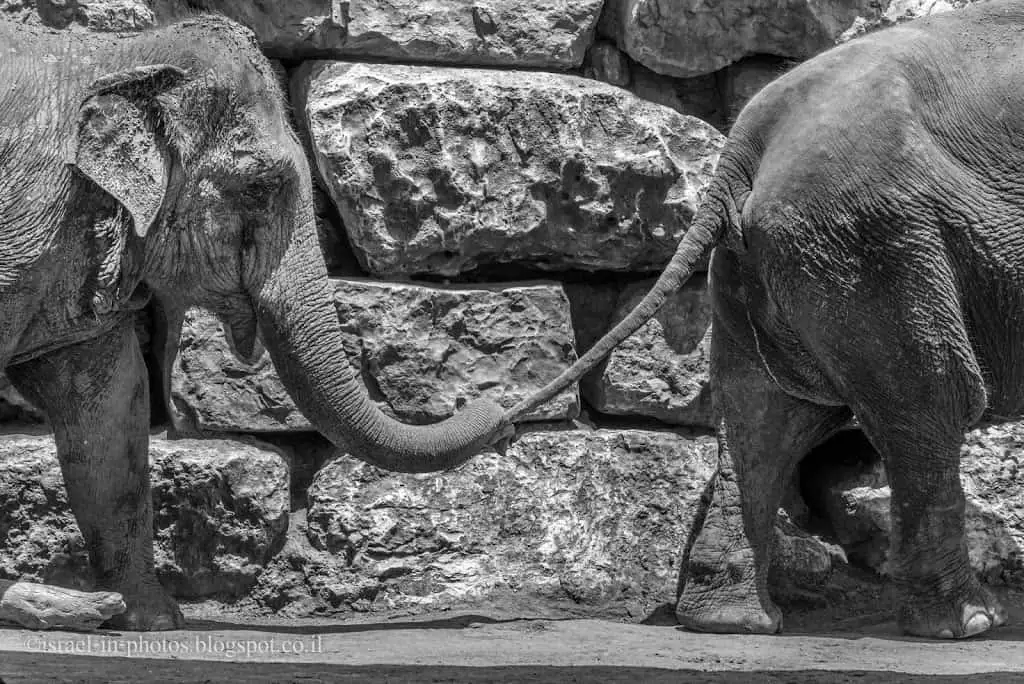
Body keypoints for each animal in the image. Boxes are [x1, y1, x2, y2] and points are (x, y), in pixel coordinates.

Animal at [0, 15, 509, 634]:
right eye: (260, 187)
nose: (497, 410)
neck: (109, 56)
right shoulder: (23, 223)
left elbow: (111, 404)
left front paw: (152, 620)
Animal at [512, 0, 1024, 643]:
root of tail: (746, 142)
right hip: (876, 243)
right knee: (934, 402)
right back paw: (971, 622)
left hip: (783, 257)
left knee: (760, 413)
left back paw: (730, 620)